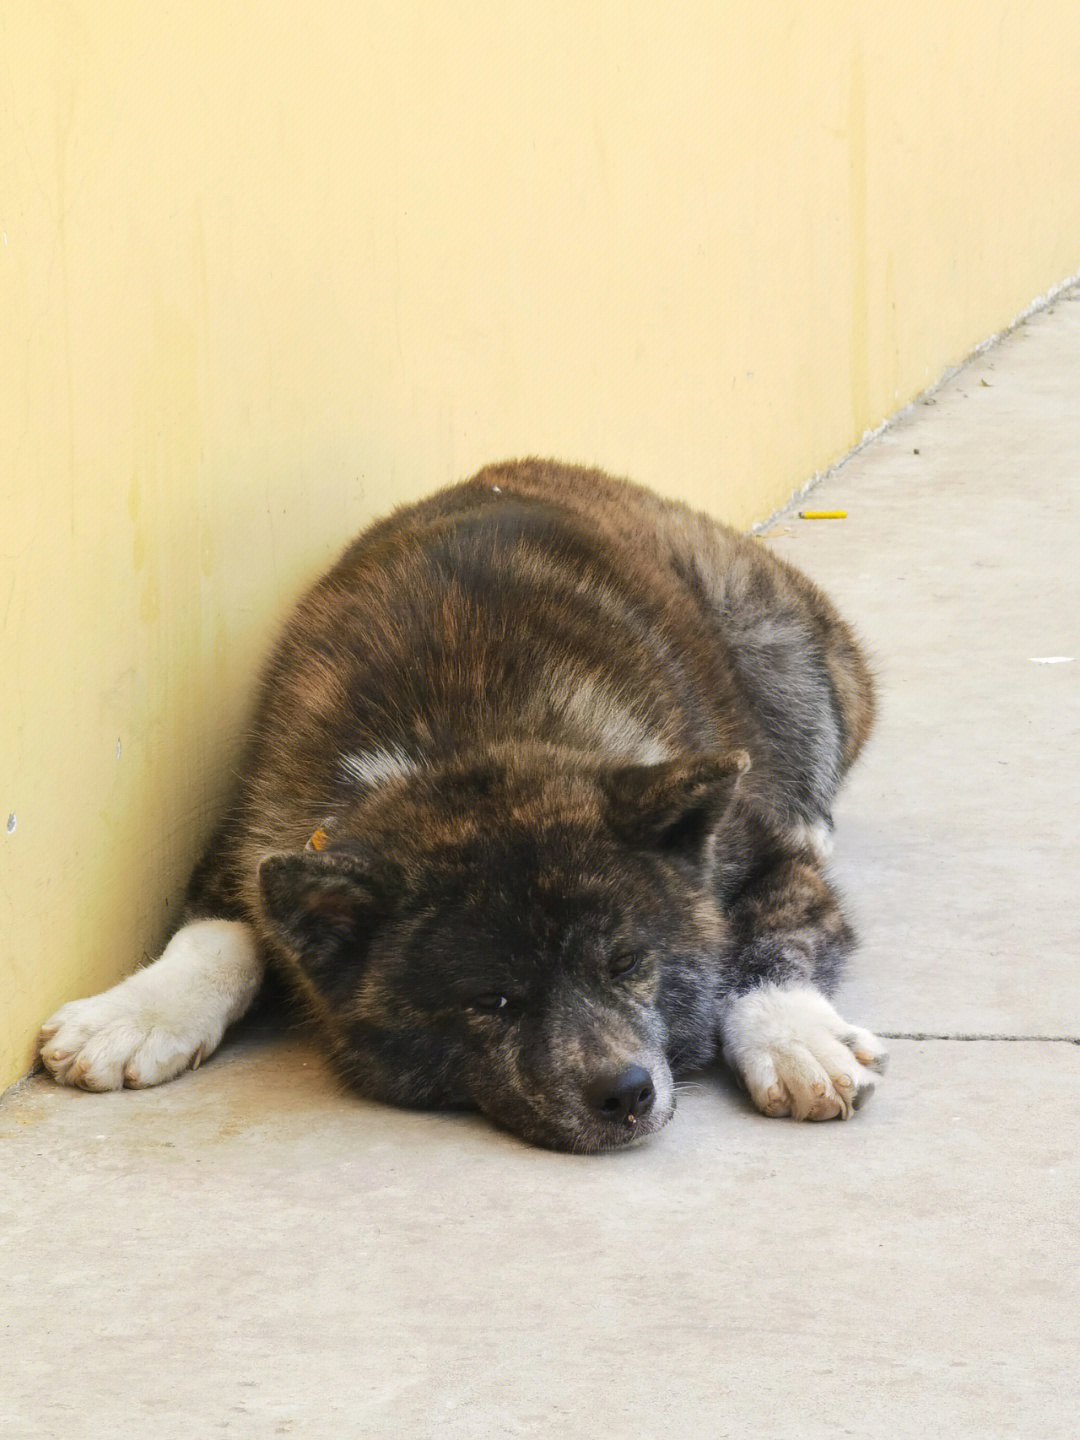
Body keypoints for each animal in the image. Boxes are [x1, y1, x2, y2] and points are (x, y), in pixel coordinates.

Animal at [40, 460, 887, 1146]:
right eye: (494, 1000)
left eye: (626, 962)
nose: (625, 1094)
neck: (464, 747)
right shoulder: (255, 837)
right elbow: (221, 935)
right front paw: (137, 1012)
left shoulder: (759, 855)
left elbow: (767, 942)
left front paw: (793, 1037)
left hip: (771, 633)